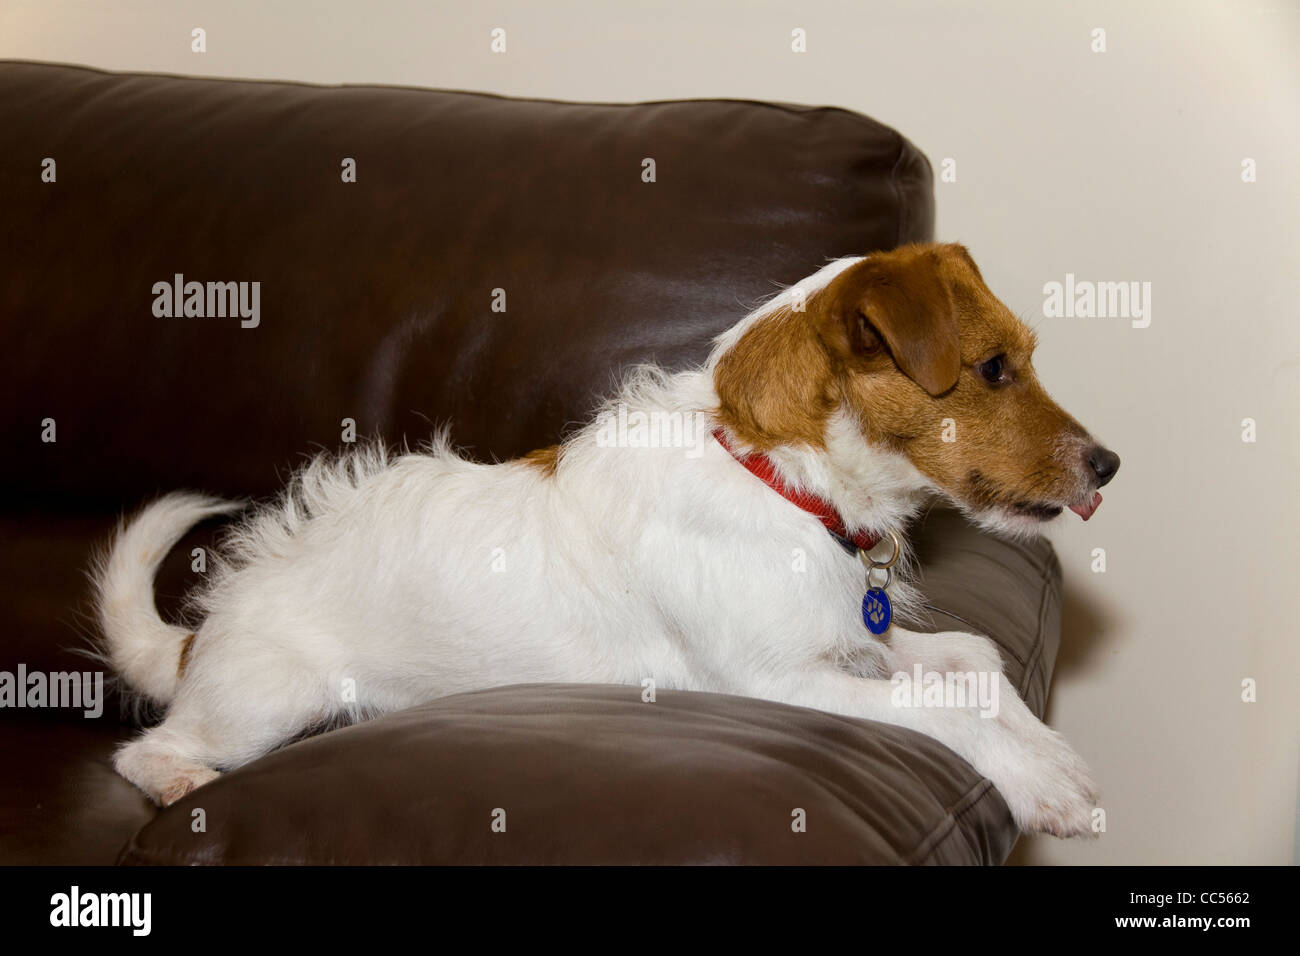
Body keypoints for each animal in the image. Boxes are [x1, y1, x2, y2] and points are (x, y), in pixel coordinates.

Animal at [98, 240, 1118, 837]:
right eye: (994, 369)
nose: (1108, 465)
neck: (778, 479)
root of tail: (201, 633)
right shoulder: (778, 683)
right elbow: (940, 707)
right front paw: (1042, 780)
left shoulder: (856, 642)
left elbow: (975, 661)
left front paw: (1045, 749)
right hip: (271, 699)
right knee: (142, 751)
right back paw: (182, 787)